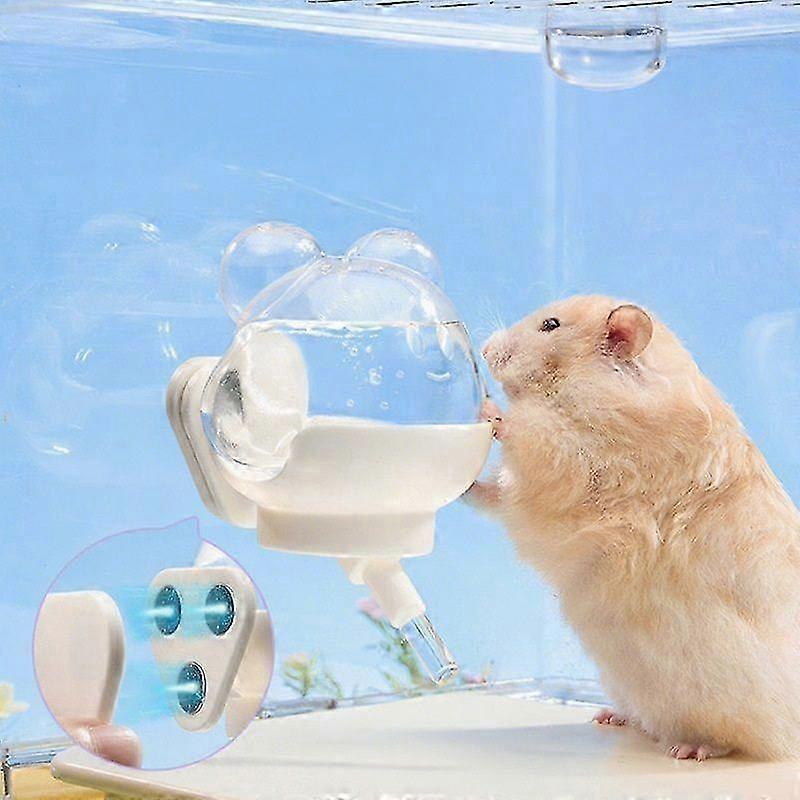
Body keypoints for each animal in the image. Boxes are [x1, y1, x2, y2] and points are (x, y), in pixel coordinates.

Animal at [472, 294, 800, 761]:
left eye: (550, 325)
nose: (483, 350)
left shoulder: (576, 457)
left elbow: (532, 437)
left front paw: (488, 412)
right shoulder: (530, 494)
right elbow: (493, 494)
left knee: (737, 740)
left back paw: (690, 749)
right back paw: (608, 717)